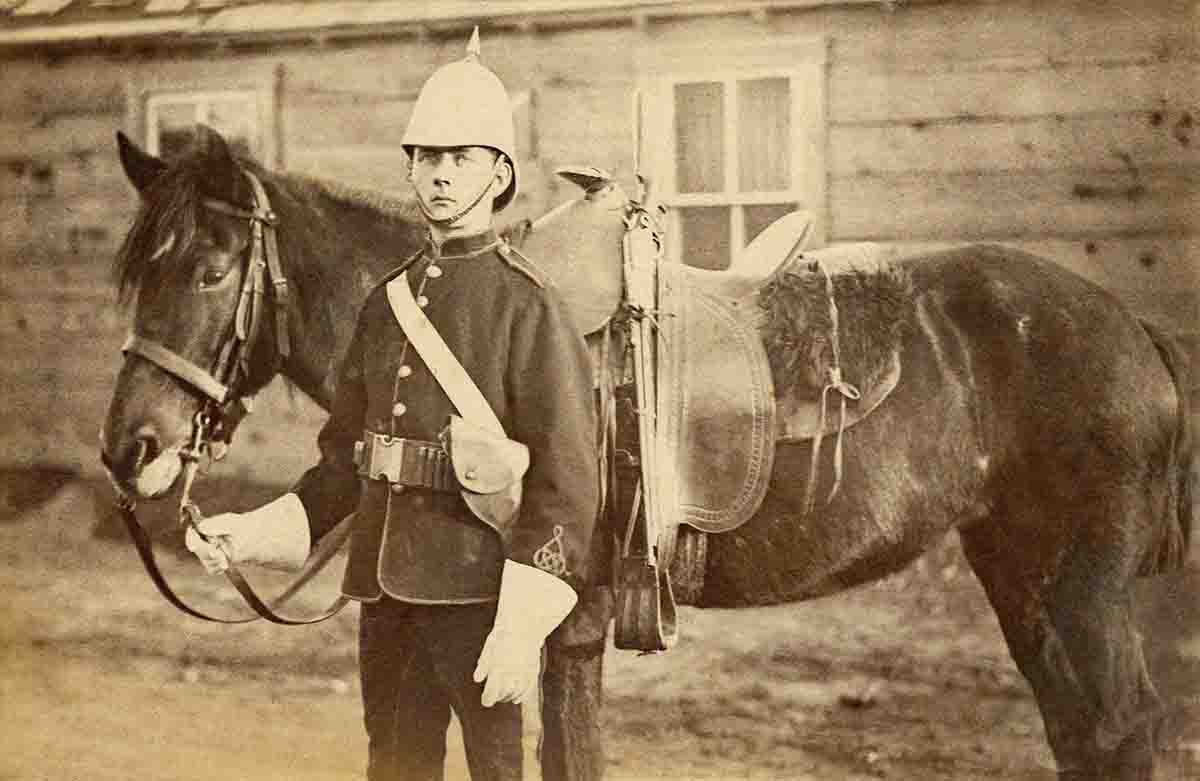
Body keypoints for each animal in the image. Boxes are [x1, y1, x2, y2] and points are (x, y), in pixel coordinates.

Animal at [103, 125, 1190, 777]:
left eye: (209, 270)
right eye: (135, 272)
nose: (131, 447)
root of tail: (1133, 329)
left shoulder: (561, 626)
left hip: (1078, 590)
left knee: (1116, 728)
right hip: (1023, 576)